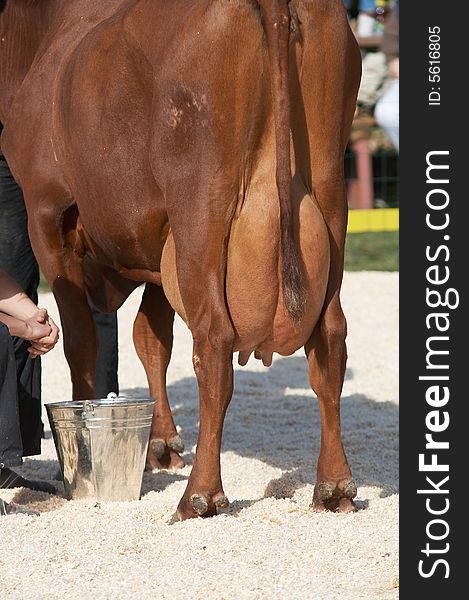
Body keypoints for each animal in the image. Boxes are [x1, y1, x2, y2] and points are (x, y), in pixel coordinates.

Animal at [0, 0, 360, 516]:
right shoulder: (158, 241)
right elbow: (150, 339)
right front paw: (160, 445)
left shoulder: (47, 214)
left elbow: (83, 343)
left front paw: (81, 458)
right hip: (329, 201)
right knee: (329, 339)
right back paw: (334, 485)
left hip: (200, 209)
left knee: (213, 342)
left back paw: (199, 494)